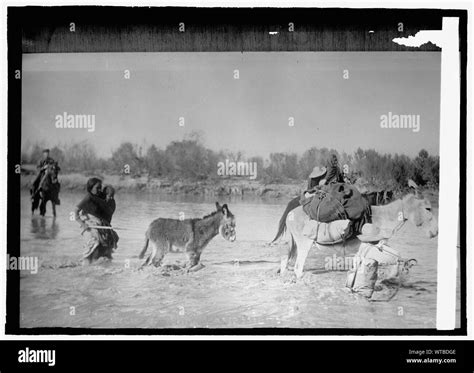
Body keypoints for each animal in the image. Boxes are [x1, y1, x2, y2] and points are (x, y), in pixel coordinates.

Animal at [272, 190, 438, 278]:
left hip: (293, 244)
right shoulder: (368, 245)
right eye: (428, 209)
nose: (436, 232)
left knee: (285, 261)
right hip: (304, 244)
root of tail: (290, 212)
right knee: (297, 267)